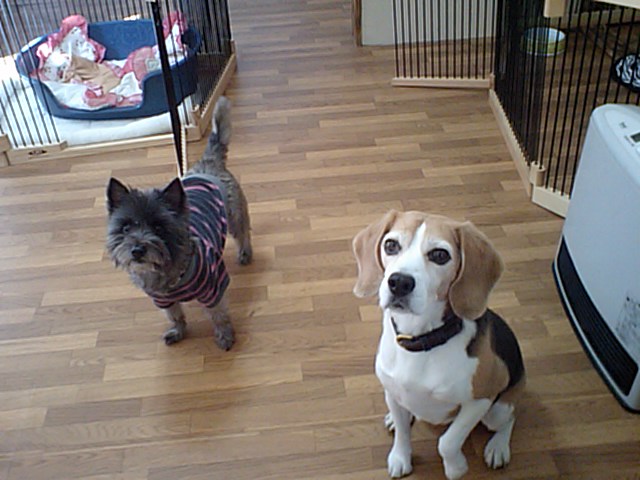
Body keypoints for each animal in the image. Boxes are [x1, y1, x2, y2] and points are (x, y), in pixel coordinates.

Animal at [106, 96, 252, 350]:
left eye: (158, 227)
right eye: (125, 228)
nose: (137, 250)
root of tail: (207, 164)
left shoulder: (213, 288)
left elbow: (218, 314)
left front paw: (225, 336)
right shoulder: (163, 301)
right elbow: (175, 315)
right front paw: (178, 331)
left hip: (235, 216)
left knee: (243, 233)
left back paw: (245, 253)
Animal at [352, 210, 525, 479]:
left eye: (440, 255)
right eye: (391, 245)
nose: (399, 282)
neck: (422, 340)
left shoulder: (481, 399)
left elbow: (448, 442)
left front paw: (456, 468)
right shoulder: (391, 389)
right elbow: (402, 430)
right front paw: (400, 457)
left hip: (497, 411)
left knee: (509, 419)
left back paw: (498, 447)